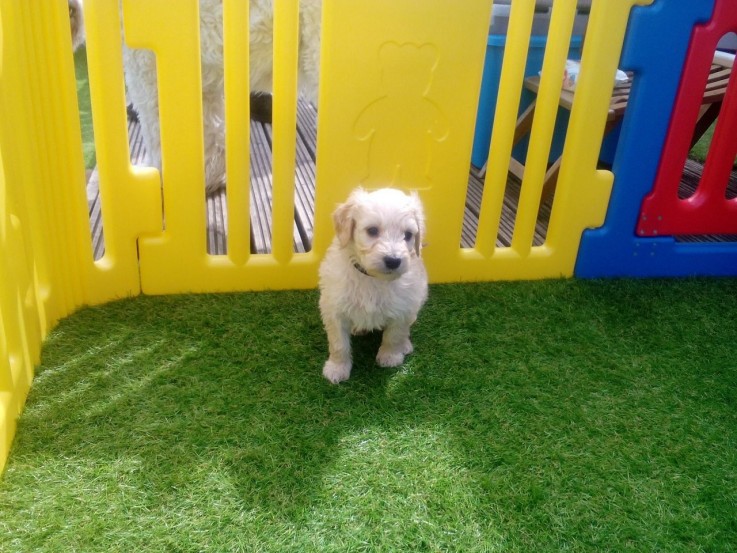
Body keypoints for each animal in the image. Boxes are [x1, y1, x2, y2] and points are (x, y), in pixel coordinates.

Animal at [318, 189, 432, 384]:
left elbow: (394, 334)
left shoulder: (404, 306)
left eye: (408, 235)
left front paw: (390, 357)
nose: (393, 260)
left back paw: (405, 345)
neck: (373, 278)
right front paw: (337, 368)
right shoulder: (334, 308)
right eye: (372, 230)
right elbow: (339, 343)